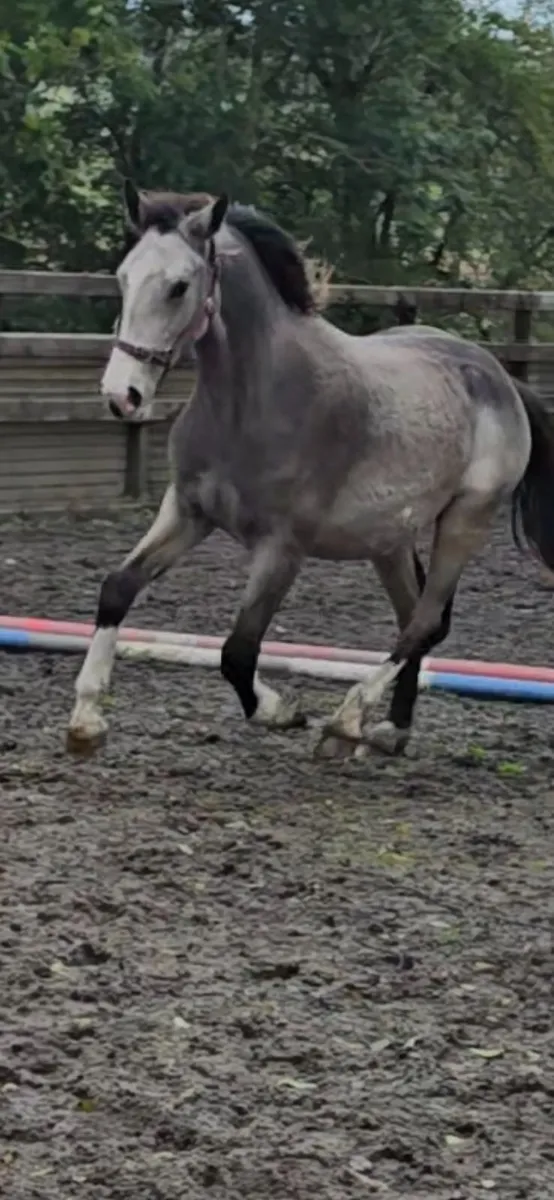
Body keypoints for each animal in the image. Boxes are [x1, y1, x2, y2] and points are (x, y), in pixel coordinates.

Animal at [66, 181, 554, 760]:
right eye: (124, 275)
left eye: (179, 286)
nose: (122, 395)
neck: (252, 400)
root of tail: (499, 378)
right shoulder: (187, 511)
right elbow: (117, 588)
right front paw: (86, 720)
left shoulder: (283, 547)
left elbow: (237, 650)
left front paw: (281, 711)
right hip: (389, 541)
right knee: (413, 618)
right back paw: (391, 730)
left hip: (465, 520)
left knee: (424, 622)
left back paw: (347, 722)